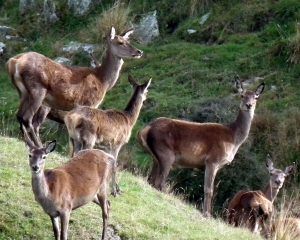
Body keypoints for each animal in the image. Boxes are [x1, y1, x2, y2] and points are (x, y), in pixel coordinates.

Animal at [6, 26, 143, 146]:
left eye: (128, 40)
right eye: (120, 42)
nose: (139, 51)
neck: (103, 81)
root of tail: (13, 62)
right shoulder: (89, 102)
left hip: (24, 93)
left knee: (20, 116)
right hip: (38, 90)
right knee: (27, 118)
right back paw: (39, 145)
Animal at [138, 77, 264, 218]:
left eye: (256, 97)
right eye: (242, 95)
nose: (249, 105)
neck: (233, 139)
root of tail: (146, 129)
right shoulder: (212, 161)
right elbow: (209, 189)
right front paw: (207, 214)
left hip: (156, 157)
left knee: (151, 179)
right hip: (166, 154)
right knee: (159, 182)